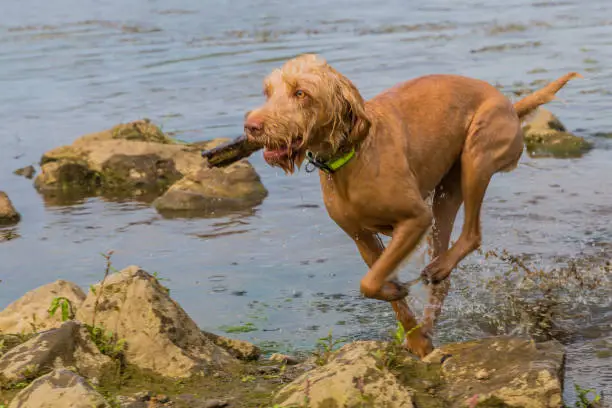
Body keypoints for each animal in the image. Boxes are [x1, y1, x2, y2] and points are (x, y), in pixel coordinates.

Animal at [243, 52, 580, 356]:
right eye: (268, 92)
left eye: (301, 93)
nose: (251, 126)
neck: (351, 156)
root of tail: (509, 103)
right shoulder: (362, 238)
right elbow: (381, 288)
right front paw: (416, 338)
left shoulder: (416, 219)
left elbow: (369, 282)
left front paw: (399, 297)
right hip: (446, 193)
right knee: (444, 277)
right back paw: (432, 310)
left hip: (477, 156)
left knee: (472, 234)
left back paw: (439, 268)